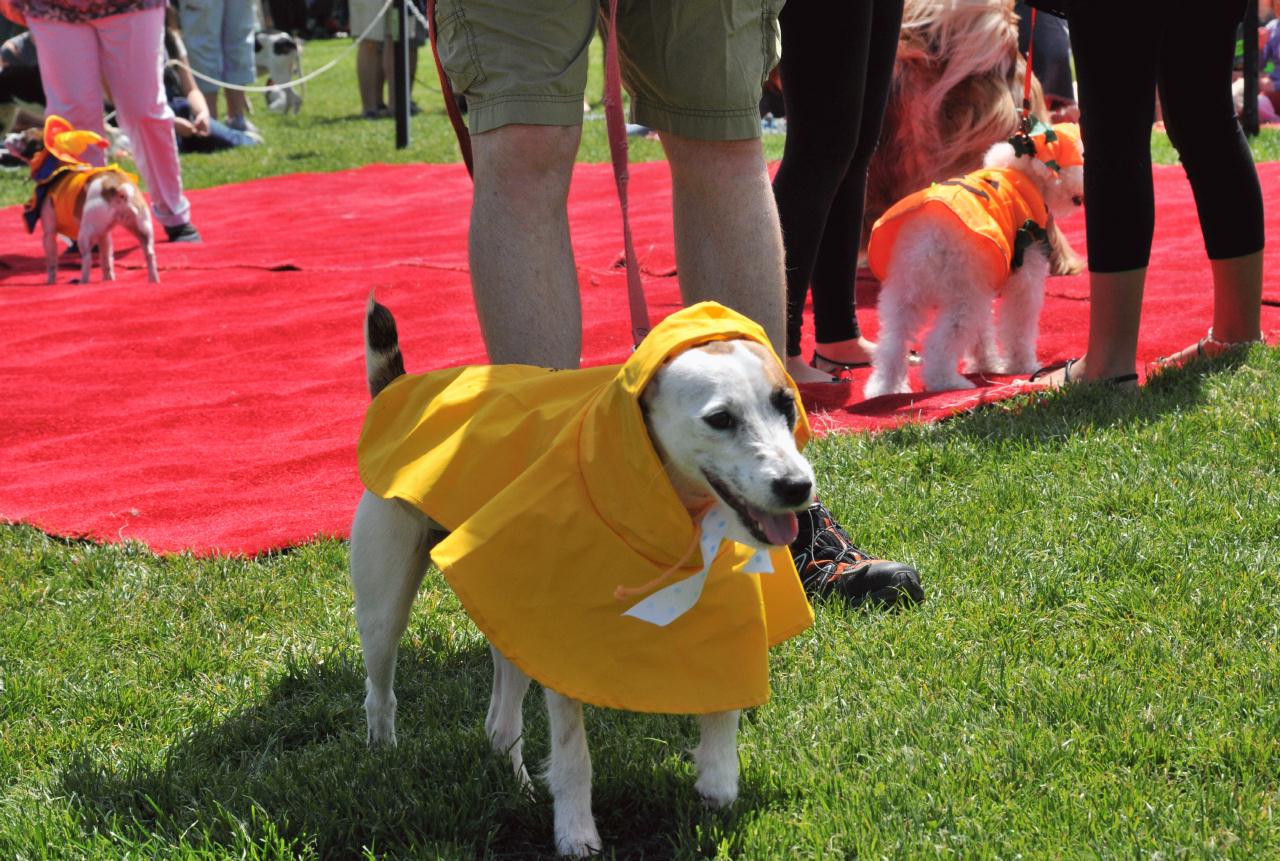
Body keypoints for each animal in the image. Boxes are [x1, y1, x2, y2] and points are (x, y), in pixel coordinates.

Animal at [860, 120, 1080, 396]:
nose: (1080, 199)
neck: (1022, 173)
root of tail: (928, 240)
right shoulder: (1025, 272)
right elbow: (1019, 324)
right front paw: (1022, 365)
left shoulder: (984, 279)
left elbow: (982, 331)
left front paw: (986, 363)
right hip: (962, 294)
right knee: (940, 342)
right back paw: (945, 382)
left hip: (905, 291)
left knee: (892, 341)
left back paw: (885, 387)